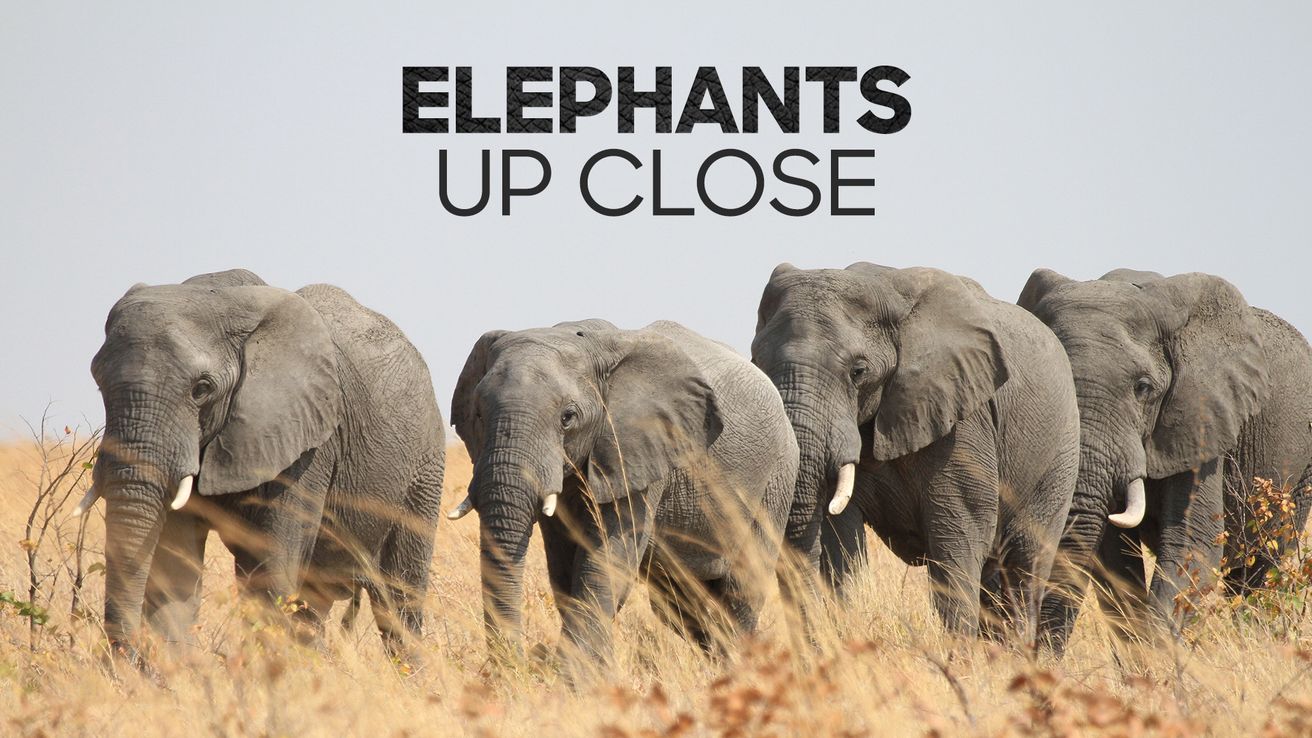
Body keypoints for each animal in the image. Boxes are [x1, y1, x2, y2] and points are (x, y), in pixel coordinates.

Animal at [80, 268, 446, 663]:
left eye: (201, 389)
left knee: (399, 599)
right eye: (98, 382)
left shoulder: (307, 445)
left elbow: (271, 569)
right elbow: (173, 571)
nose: (125, 657)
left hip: (424, 466)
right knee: (314, 604)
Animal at [448, 319, 797, 673]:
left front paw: (574, 677)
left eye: (567, 418)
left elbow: (605, 562)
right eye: (478, 414)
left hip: (776, 479)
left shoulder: (638, 450)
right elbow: (564, 568)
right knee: (680, 604)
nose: (521, 664)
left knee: (742, 589)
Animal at [751, 263, 1081, 642]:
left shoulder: (963, 420)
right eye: (756, 361)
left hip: (1059, 455)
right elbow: (840, 543)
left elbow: (959, 535)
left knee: (1026, 564)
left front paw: (960, 655)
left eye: (858, 371)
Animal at [1019, 269, 1312, 654]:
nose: (1036, 654)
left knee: (1262, 568)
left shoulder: (1202, 418)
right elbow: (1112, 556)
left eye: (1143, 388)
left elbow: (1193, 541)